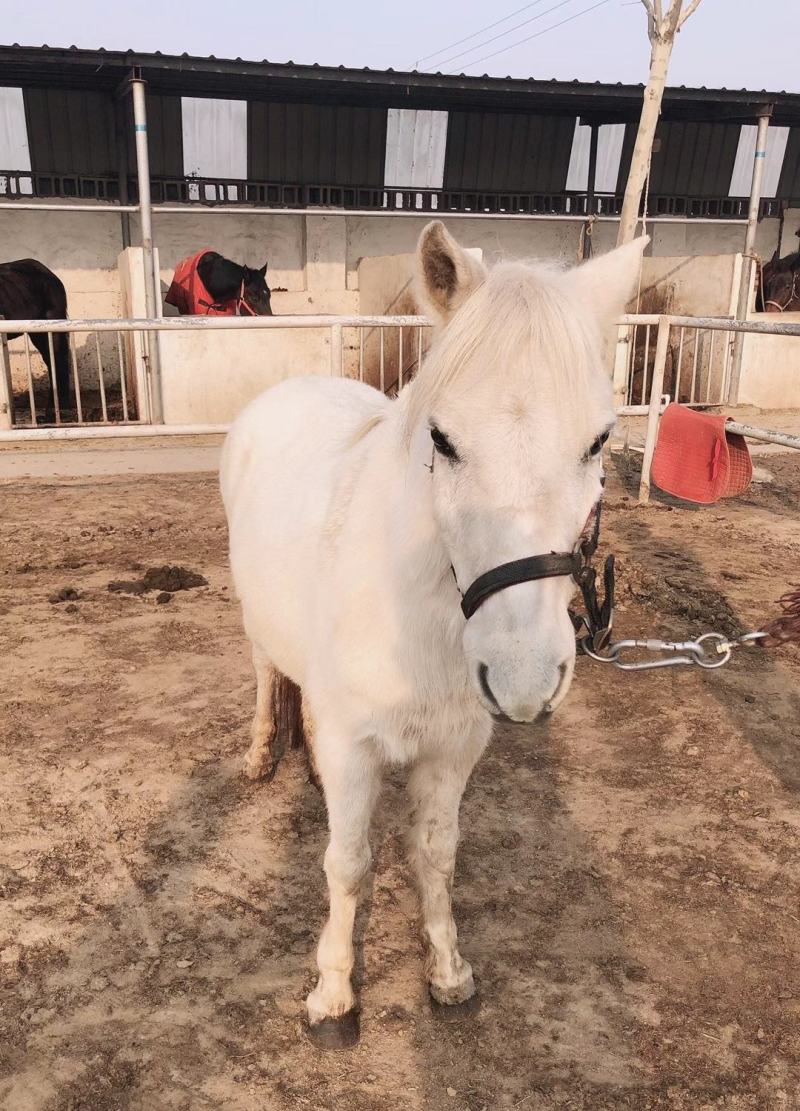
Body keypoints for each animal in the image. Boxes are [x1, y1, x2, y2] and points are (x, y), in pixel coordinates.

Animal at [220, 221, 646, 1047]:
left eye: (597, 442)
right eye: (442, 440)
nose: (523, 680)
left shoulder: (454, 748)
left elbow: (436, 855)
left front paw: (447, 971)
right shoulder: (354, 746)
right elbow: (348, 862)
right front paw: (333, 994)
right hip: (256, 626)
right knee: (263, 673)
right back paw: (260, 753)